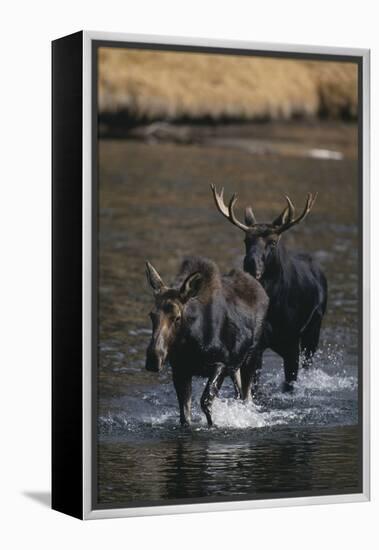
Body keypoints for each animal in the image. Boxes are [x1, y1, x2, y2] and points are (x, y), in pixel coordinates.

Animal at [145, 256, 270, 430]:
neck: (190, 344)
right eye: (152, 315)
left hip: (252, 358)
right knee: (239, 393)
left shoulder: (221, 363)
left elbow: (205, 401)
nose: (153, 358)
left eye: (177, 317)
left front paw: (213, 425)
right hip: (236, 366)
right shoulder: (180, 370)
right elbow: (185, 415)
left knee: (247, 397)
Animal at [212, 185, 328, 392]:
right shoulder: (256, 346)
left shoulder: (291, 343)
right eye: (246, 241)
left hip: (314, 329)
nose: (250, 263)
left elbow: (289, 384)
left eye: (272, 242)